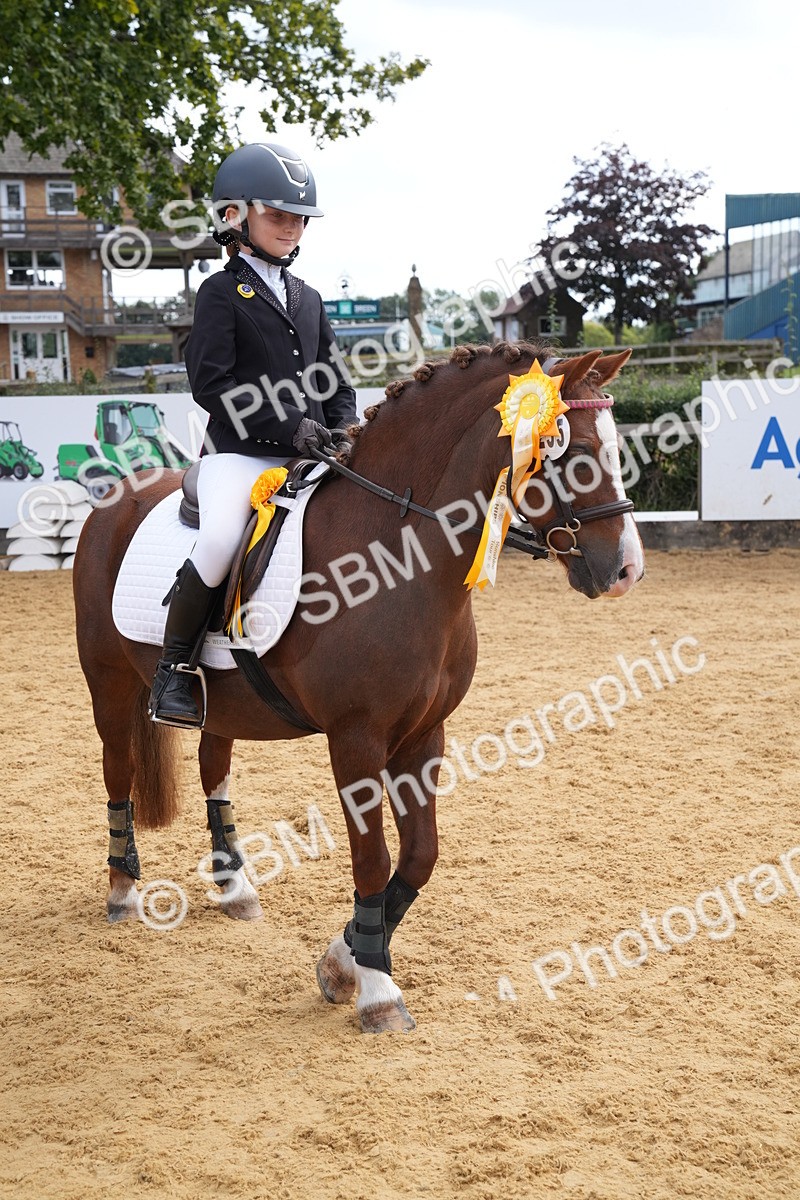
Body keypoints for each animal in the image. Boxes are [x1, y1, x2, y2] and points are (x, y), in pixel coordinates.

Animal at [73, 342, 644, 1034]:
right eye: (571, 448)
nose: (626, 570)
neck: (398, 556)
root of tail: (118, 494)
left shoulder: (424, 734)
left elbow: (421, 855)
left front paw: (344, 963)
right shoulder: (356, 740)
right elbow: (372, 857)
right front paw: (377, 992)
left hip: (221, 705)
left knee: (215, 769)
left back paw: (235, 887)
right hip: (108, 685)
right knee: (118, 770)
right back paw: (123, 891)